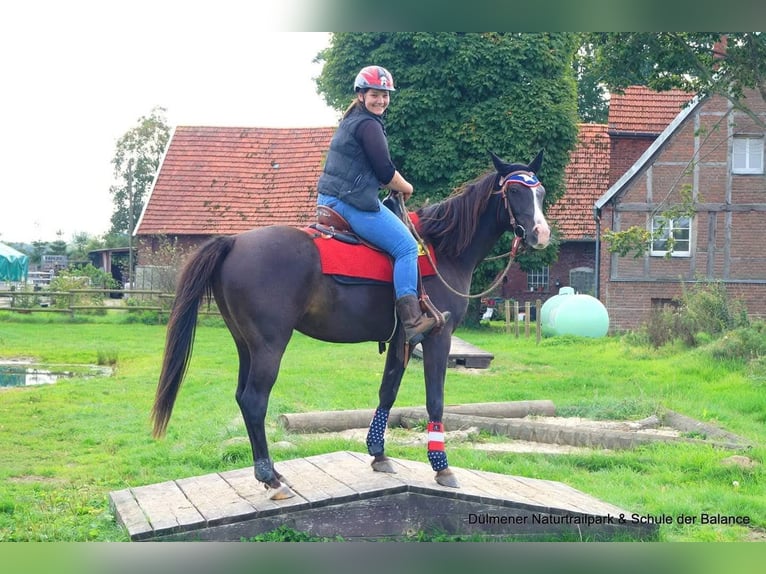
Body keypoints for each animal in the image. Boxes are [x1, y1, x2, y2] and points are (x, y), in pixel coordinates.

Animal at [151, 150, 551, 500]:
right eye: (515, 191)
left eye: (541, 192)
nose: (540, 234)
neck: (442, 250)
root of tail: (234, 241)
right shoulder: (438, 337)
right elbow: (435, 400)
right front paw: (442, 467)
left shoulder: (401, 340)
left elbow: (387, 392)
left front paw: (378, 454)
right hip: (269, 345)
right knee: (254, 400)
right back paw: (272, 479)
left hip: (244, 344)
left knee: (241, 397)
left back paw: (272, 474)